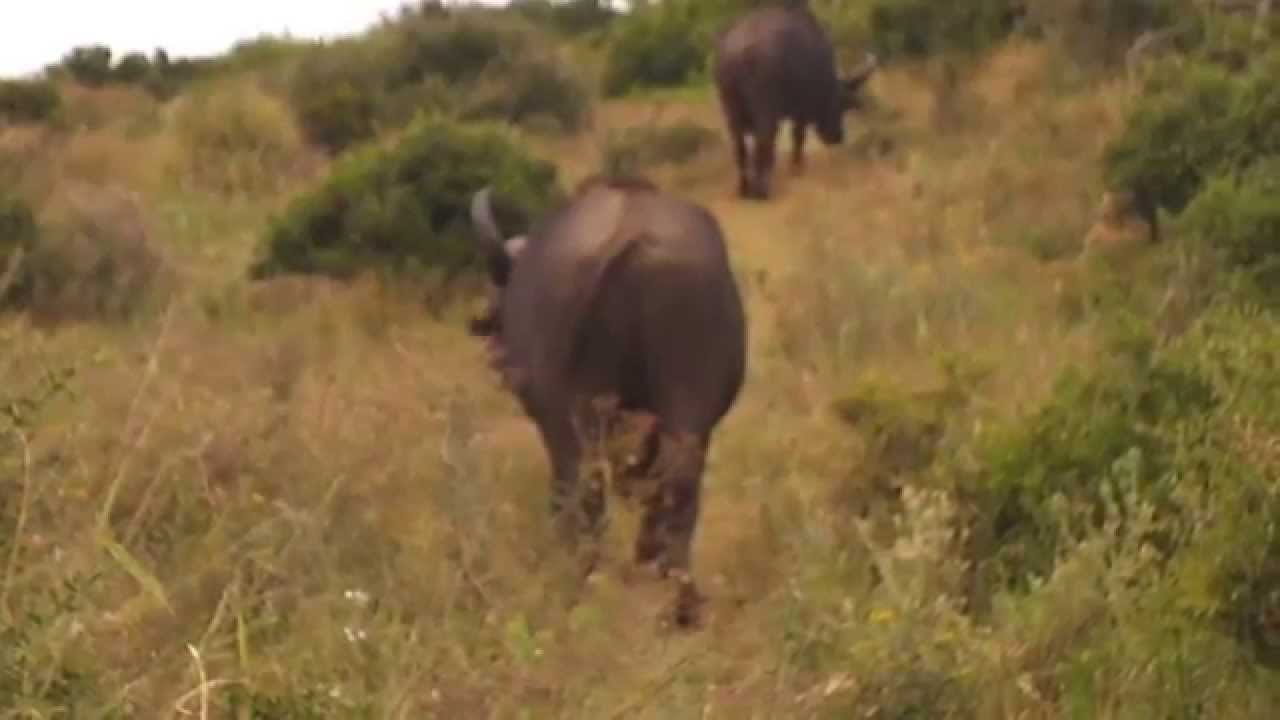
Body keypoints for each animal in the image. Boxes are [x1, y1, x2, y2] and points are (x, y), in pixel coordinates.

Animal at [468, 175, 747, 628]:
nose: (497, 358)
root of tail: (629, 235)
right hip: (687, 404)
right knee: (679, 484)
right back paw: (681, 597)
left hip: (572, 416)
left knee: (582, 489)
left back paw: (579, 574)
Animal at [713, 2, 879, 199]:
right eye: (841, 105)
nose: (838, 136)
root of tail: (739, 50)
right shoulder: (801, 109)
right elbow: (798, 137)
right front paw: (797, 168)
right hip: (765, 111)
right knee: (764, 141)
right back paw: (761, 190)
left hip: (730, 110)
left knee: (740, 148)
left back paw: (744, 188)